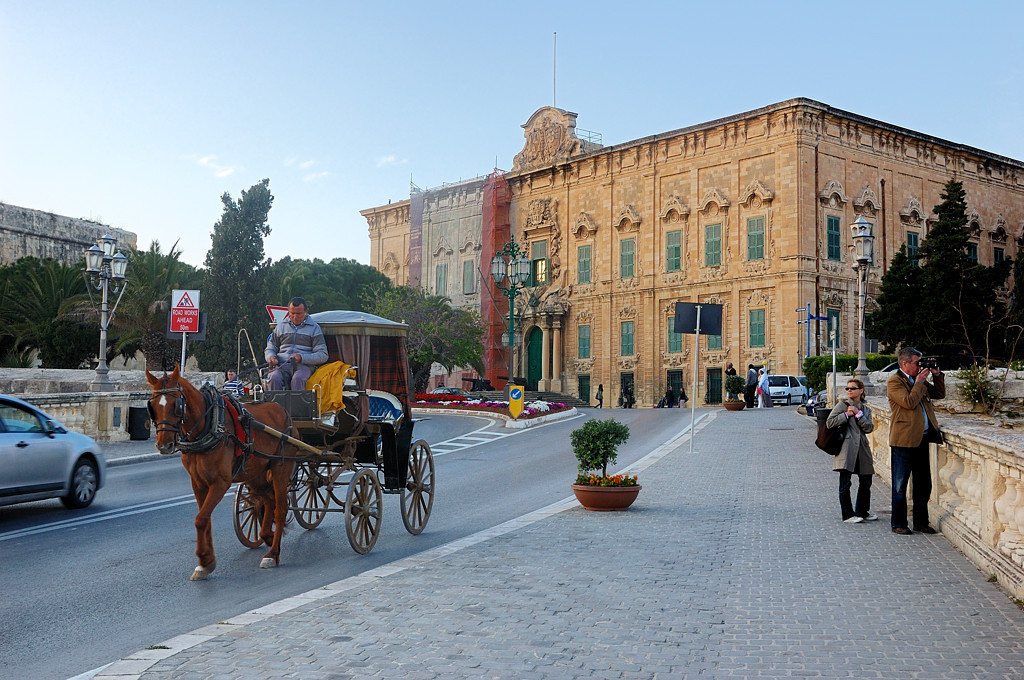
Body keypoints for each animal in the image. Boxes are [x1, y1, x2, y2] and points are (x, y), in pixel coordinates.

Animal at [148, 364, 299, 581]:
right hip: (255, 474)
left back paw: (272, 554)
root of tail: (283, 411)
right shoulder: (198, 483)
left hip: (281, 468)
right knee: (267, 501)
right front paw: (206, 562)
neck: (208, 427)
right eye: (152, 406)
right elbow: (205, 519)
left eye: (176, 405)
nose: (164, 445)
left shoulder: (220, 483)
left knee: (281, 508)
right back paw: (267, 536)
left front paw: (204, 559)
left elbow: (201, 519)